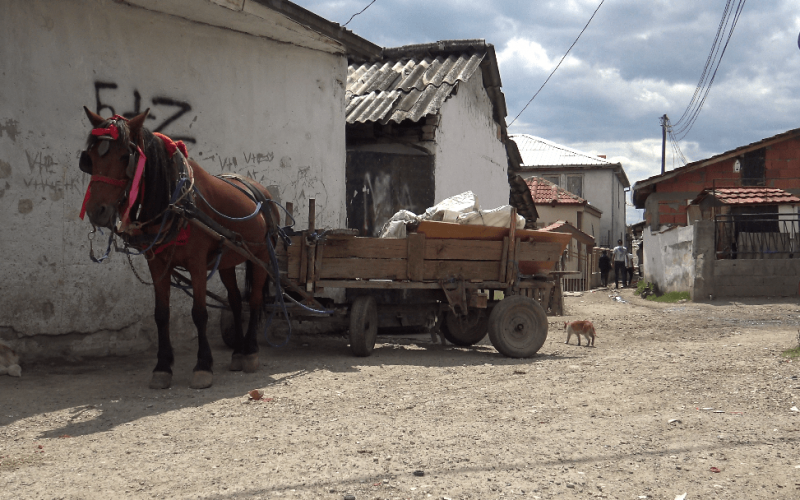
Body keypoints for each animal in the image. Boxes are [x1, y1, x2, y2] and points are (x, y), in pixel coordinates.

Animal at [78, 106, 278, 390]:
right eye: (90, 158)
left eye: (125, 157)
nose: (97, 211)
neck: (176, 203)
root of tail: (263, 192)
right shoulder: (157, 263)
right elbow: (161, 314)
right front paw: (162, 367)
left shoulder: (197, 264)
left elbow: (199, 313)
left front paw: (203, 365)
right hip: (227, 259)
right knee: (236, 301)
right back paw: (238, 352)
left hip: (260, 256)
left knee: (256, 300)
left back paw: (250, 351)